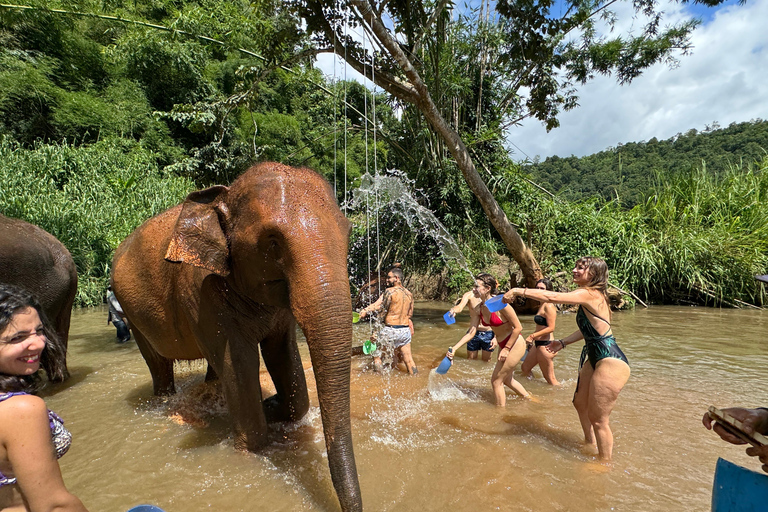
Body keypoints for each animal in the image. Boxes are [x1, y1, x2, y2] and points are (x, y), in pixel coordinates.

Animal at [111, 163, 364, 512]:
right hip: (129, 310)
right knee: (158, 364)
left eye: (348, 233)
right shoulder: (201, 291)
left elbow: (283, 357)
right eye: (272, 242)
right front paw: (261, 418)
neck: (225, 195)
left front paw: (274, 406)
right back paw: (168, 402)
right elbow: (239, 362)